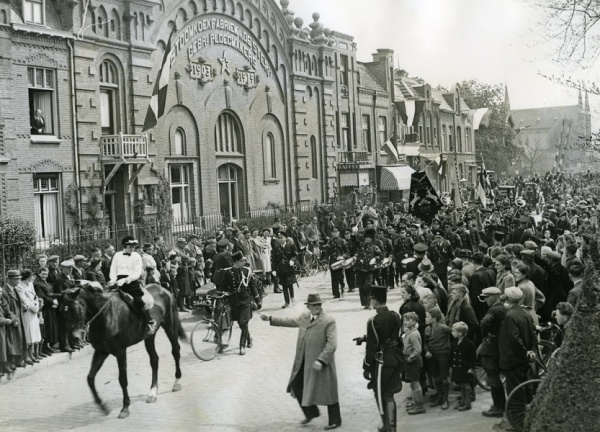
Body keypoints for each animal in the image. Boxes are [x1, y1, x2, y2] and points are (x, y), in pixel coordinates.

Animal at [62, 280, 186, 418]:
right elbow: (90, 378)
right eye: (63, 312)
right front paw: (103, 406)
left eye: (75, 308)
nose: (74, 339)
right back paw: (152, 392)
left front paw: (125, 408)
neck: (106, 315)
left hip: (170, 327)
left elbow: (122, 379)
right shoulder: (101, 351)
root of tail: (164, 289)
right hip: (149, 336)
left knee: (175, 352)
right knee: (154, 359)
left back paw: (176, 383)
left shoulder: (120, 352)